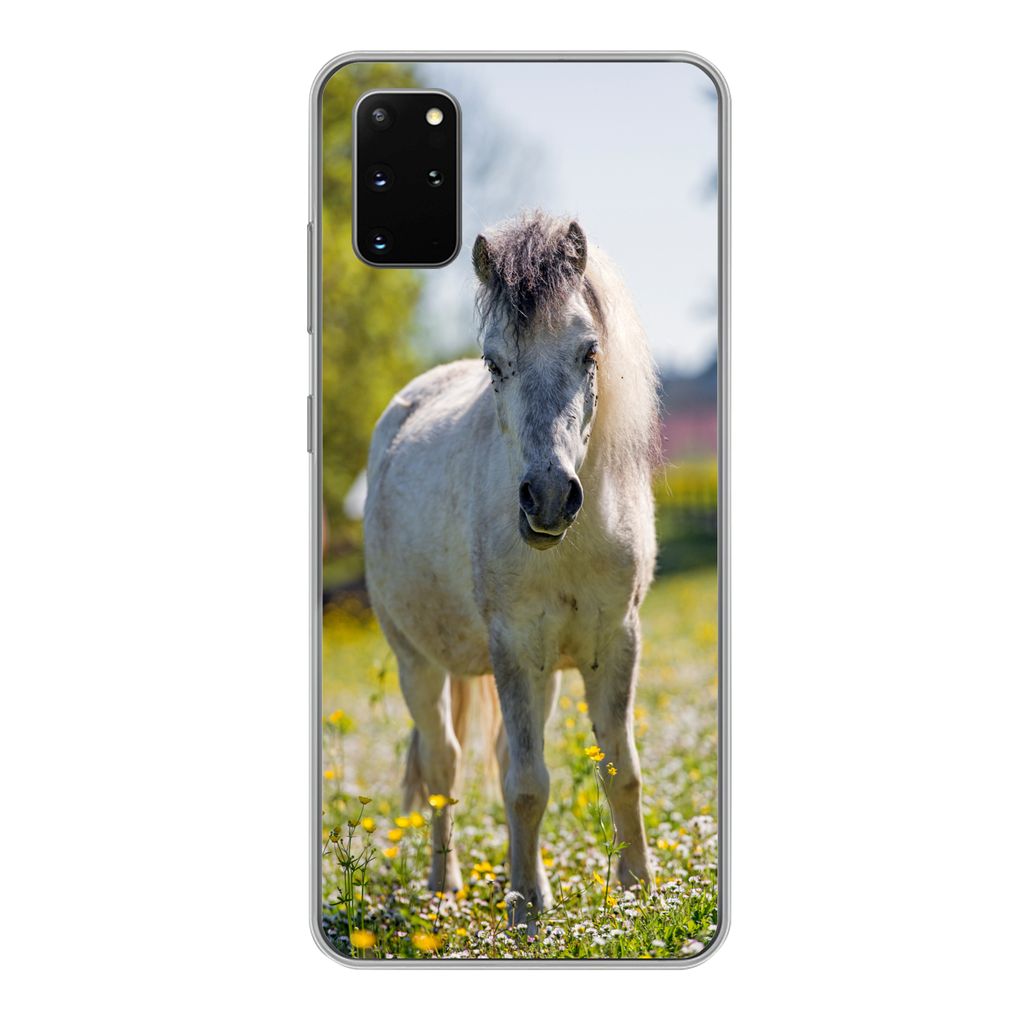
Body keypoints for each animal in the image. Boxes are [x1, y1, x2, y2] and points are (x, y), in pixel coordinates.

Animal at [363, 211, 659, 923]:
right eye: (494, 363)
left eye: (589, 352)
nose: (548, 498)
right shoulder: (514, 648)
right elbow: (527, 784)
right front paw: (526, 911)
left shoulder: (617, 641)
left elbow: (622, 770)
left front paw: (639, 893)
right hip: (418, 662)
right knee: (444, 763)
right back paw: (446, 887)